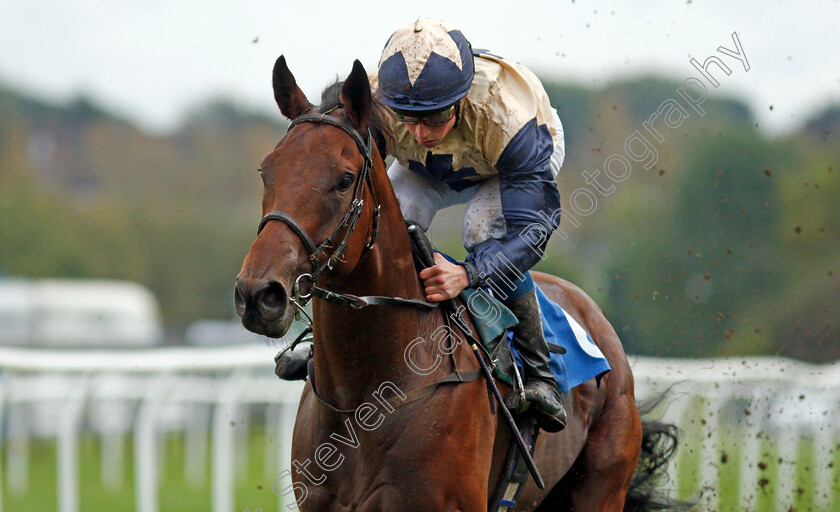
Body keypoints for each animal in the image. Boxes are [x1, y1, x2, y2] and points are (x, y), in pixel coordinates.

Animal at [233, 56, 680, 512]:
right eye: (266, 171)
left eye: (343, 180)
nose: (258, 295)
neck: (362, 397)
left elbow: (530, 225)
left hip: (603, 485)